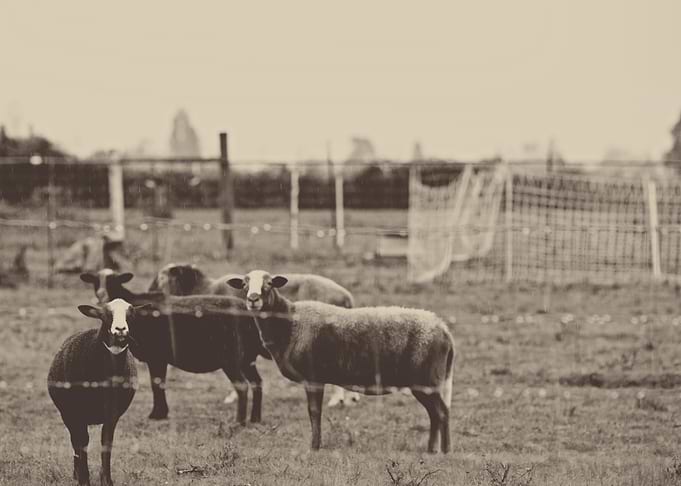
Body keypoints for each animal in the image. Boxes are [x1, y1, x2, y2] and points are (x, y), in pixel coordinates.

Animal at [47, 299, 137, 486]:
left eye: (132, 313)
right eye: (105, 314)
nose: (120, 329)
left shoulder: (112, 414)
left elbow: (106, 442)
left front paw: (107, 480)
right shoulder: (75, 413)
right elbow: (82, 442)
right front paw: (84, 479)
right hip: (67, 413)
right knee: (76, 441)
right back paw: (77, 473)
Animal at [80, 270, 268, 424]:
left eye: (113, 281)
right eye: (95, 281)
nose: (101, 295)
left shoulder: (156, 356)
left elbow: (156, 383)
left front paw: (157, 414)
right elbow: (159, 383)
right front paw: (161, 413)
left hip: (230, 357)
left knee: (242, 386)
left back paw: (239, 422)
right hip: (247, 357)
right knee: (257, 382)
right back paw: (255, 418)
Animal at [149, 263, 360, 407]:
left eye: (162, 278)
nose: (149, 292)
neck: (204, 289)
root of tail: (347, 297)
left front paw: (232, 397)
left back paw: (337, 399)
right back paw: (350, 397)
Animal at [226, 270, 456, 453]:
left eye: (269, 283)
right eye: (244, 284)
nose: (253, 299)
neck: (289, 323)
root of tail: (444, 329)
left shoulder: (313, 378)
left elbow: (314, 412)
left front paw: (314, 447)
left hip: (425, 381)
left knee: (442, 413)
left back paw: (442, 452)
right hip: (427, 383)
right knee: (437, 414)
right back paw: (434, 450)